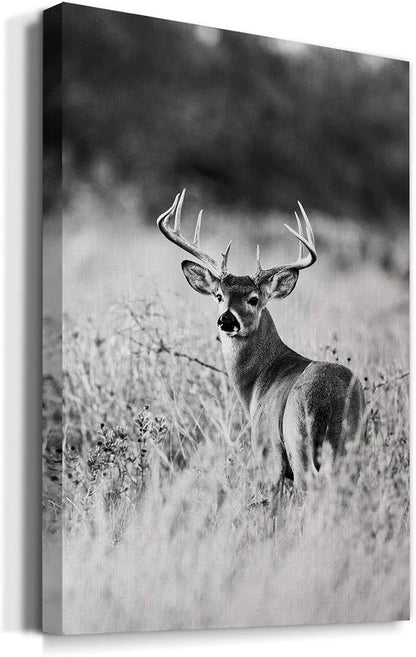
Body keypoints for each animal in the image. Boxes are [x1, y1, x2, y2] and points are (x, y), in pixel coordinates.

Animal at [157, 189, 365, 497]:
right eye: (219, 295)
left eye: (253, 299)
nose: (226, 320)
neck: (258, 383)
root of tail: (328, 399)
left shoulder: (268, 453)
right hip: (352, 449)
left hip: (297, 442)